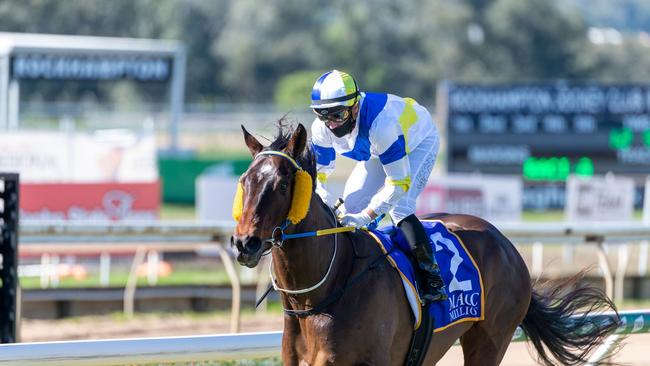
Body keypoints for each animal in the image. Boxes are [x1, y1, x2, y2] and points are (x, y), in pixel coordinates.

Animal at [232, 121, 616, 364]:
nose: (243, 243)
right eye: (245, 181)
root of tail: (504, 242)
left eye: (283, 184)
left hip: (490, 340)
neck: (322, 293)